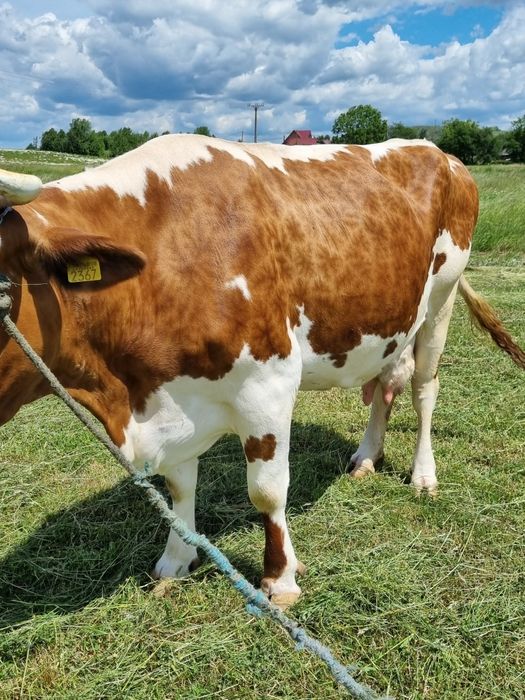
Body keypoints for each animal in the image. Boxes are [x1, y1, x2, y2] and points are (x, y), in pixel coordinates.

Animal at [1, 135, 523, 608]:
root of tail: (440, 151)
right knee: (383, 386)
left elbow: (267, 493)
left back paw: (423, 475)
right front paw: (176, 561)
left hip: (441, 299)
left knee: (423, 388)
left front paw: (280, 579)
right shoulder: (173, 394)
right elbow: (179, 486)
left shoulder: (267, 385)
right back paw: (365, 458)